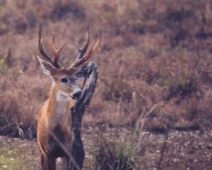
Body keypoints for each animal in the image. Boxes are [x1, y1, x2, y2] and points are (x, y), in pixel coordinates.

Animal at [36, 24, 101, 170]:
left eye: (76, 78)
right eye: (63, 78)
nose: (78, 93)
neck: (56, 133)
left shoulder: (68, 152)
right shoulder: (47, 152)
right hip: (40, 149)